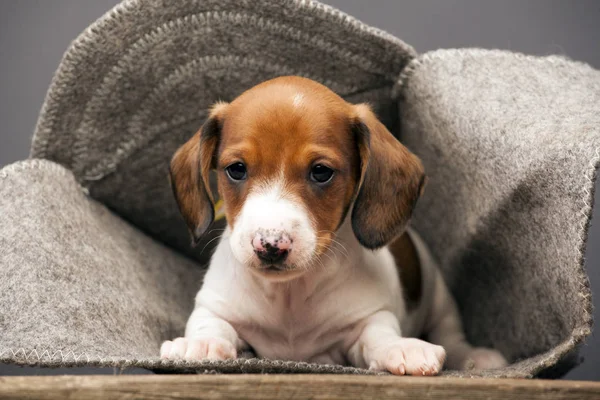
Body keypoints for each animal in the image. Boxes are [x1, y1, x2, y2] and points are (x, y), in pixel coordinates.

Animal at [161, 76, 506, 376]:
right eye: (236, 169)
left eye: (321, 172)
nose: (270, 246)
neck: (290, 294)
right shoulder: (215, 306)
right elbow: (211, 323)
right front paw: (200, 343)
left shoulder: (371, 317)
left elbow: (379, 336)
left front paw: (401, 348)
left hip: (439, 298)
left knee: (451, 334)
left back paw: (474, 356)